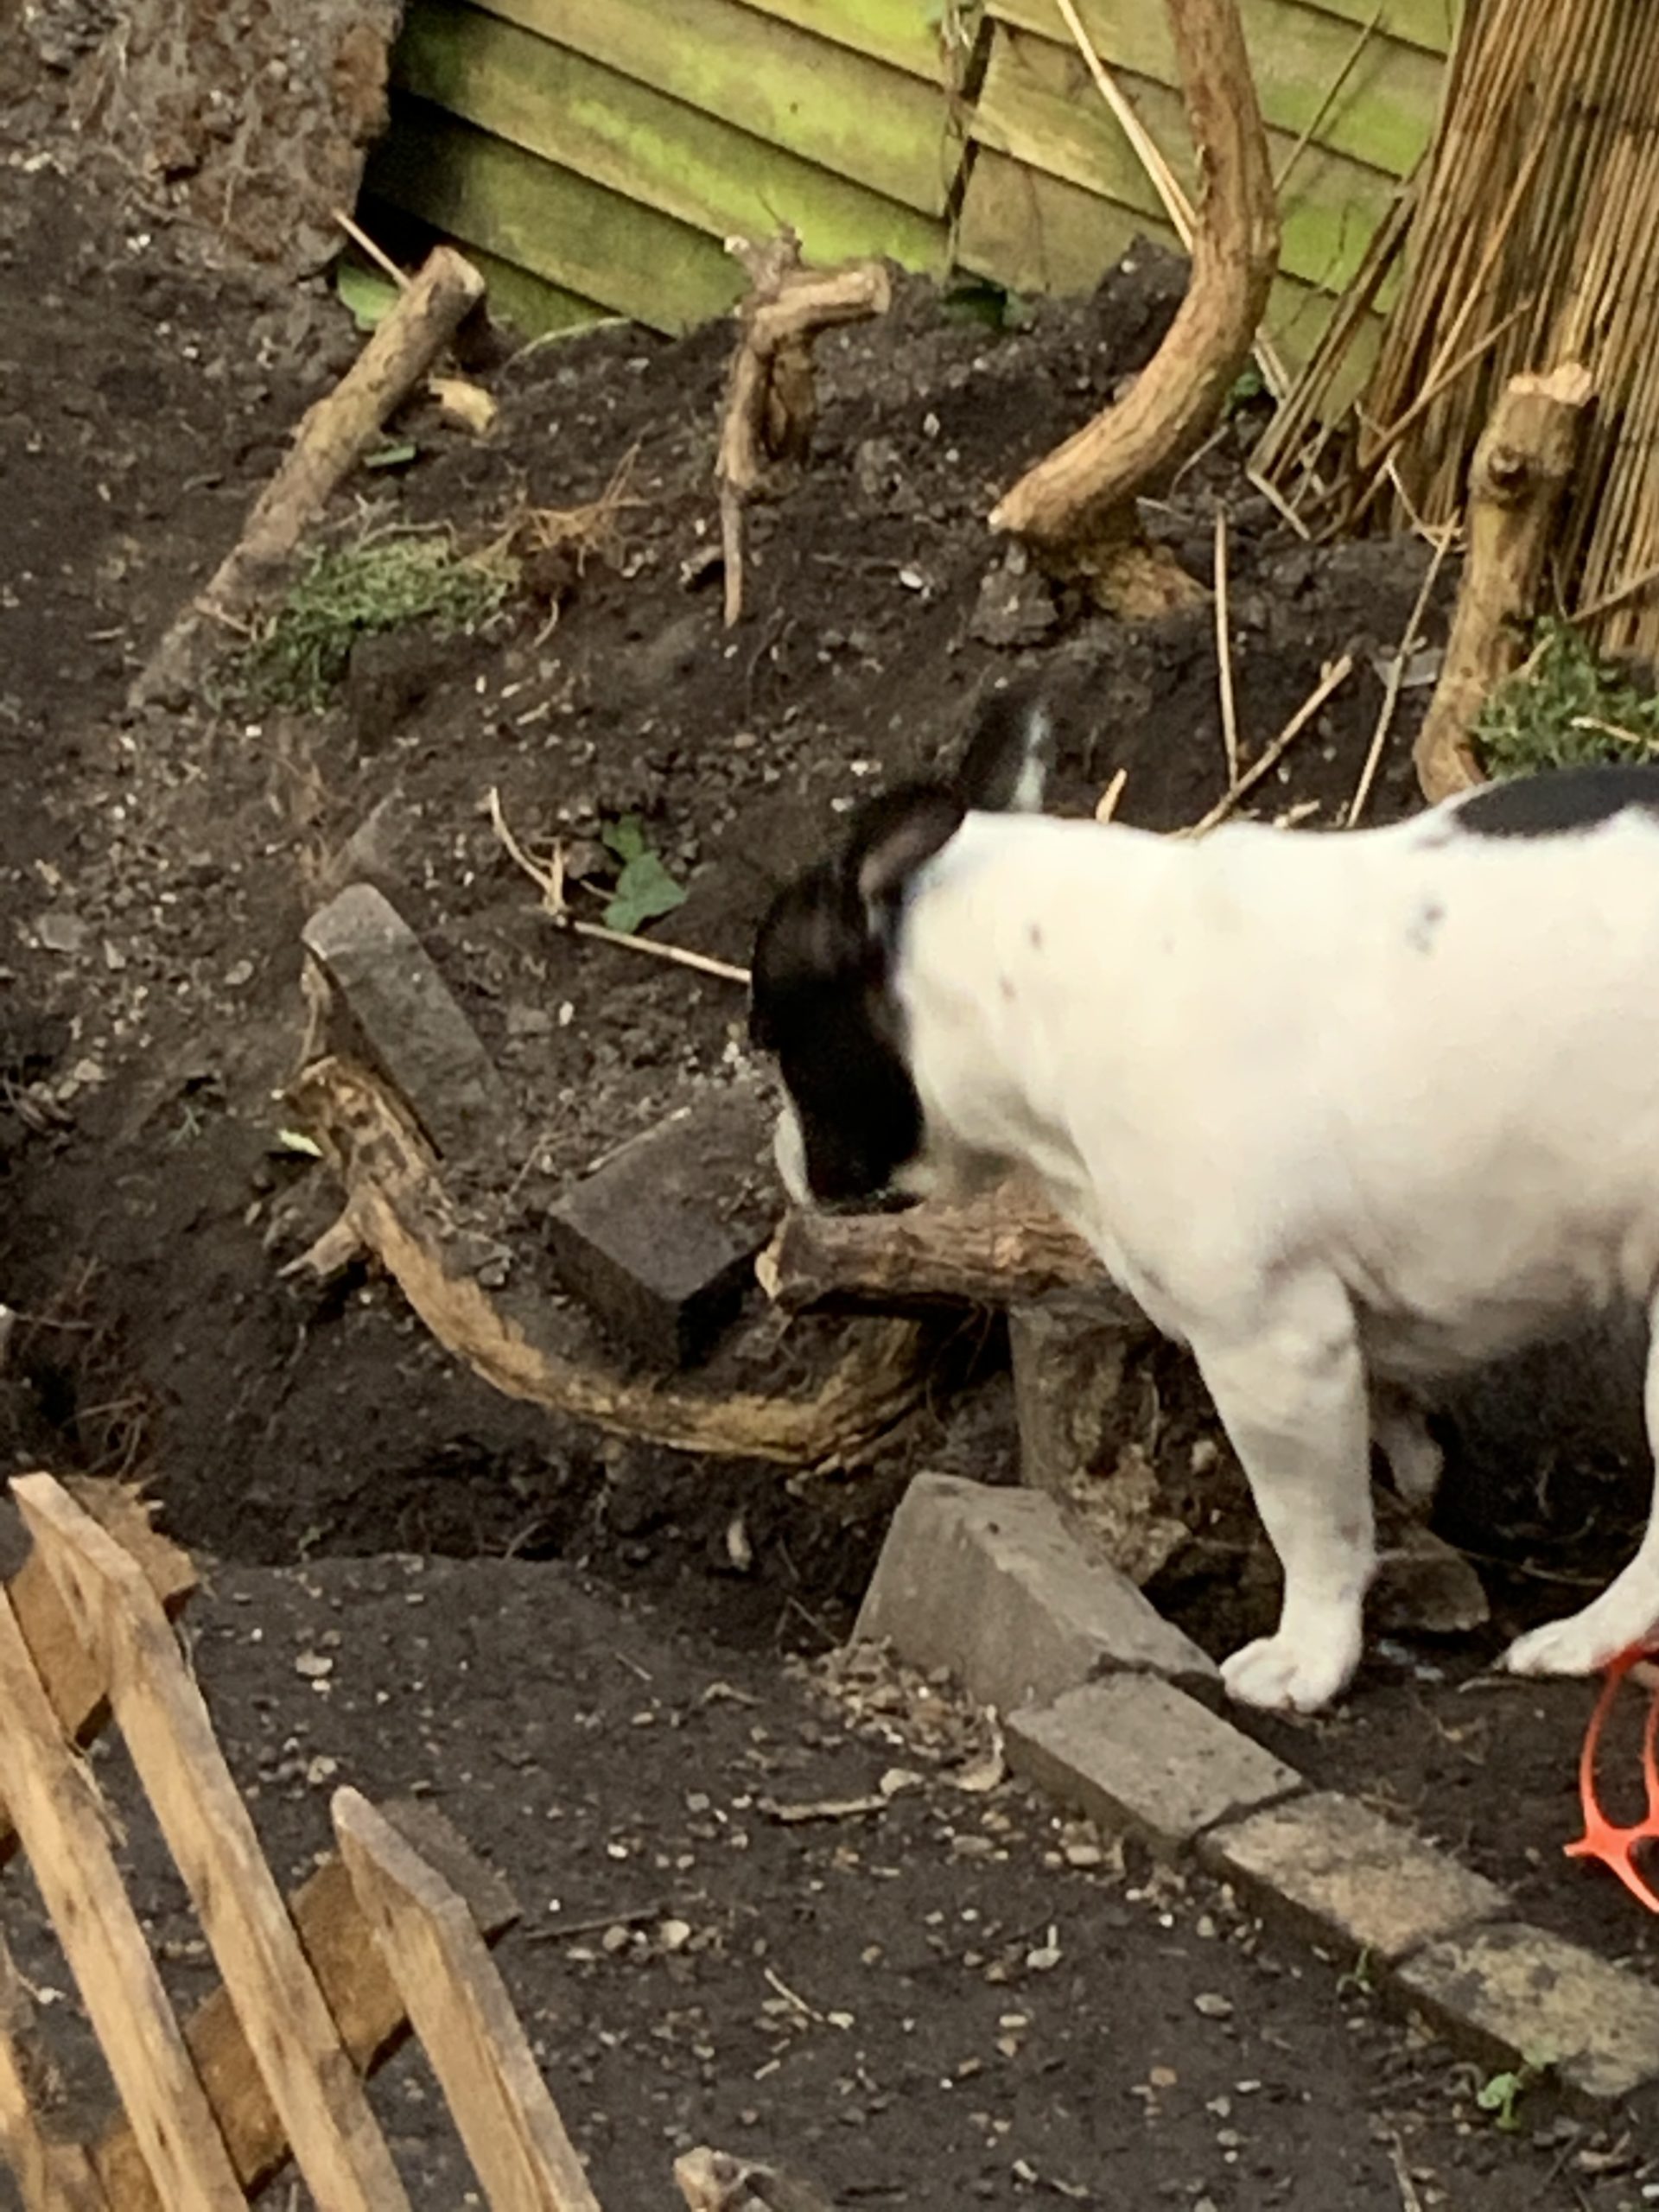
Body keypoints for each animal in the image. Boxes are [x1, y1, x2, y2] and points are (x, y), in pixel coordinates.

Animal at [752, 685, 1659, 1707]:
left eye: (774, 1039)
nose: (782, 1149)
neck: (1042, 982)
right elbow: (1388, 1419)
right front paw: (1421, 1478)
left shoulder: (1271, 1347)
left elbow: (1312, 1520)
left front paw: (1309, 1656)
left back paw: (1587, 1637)